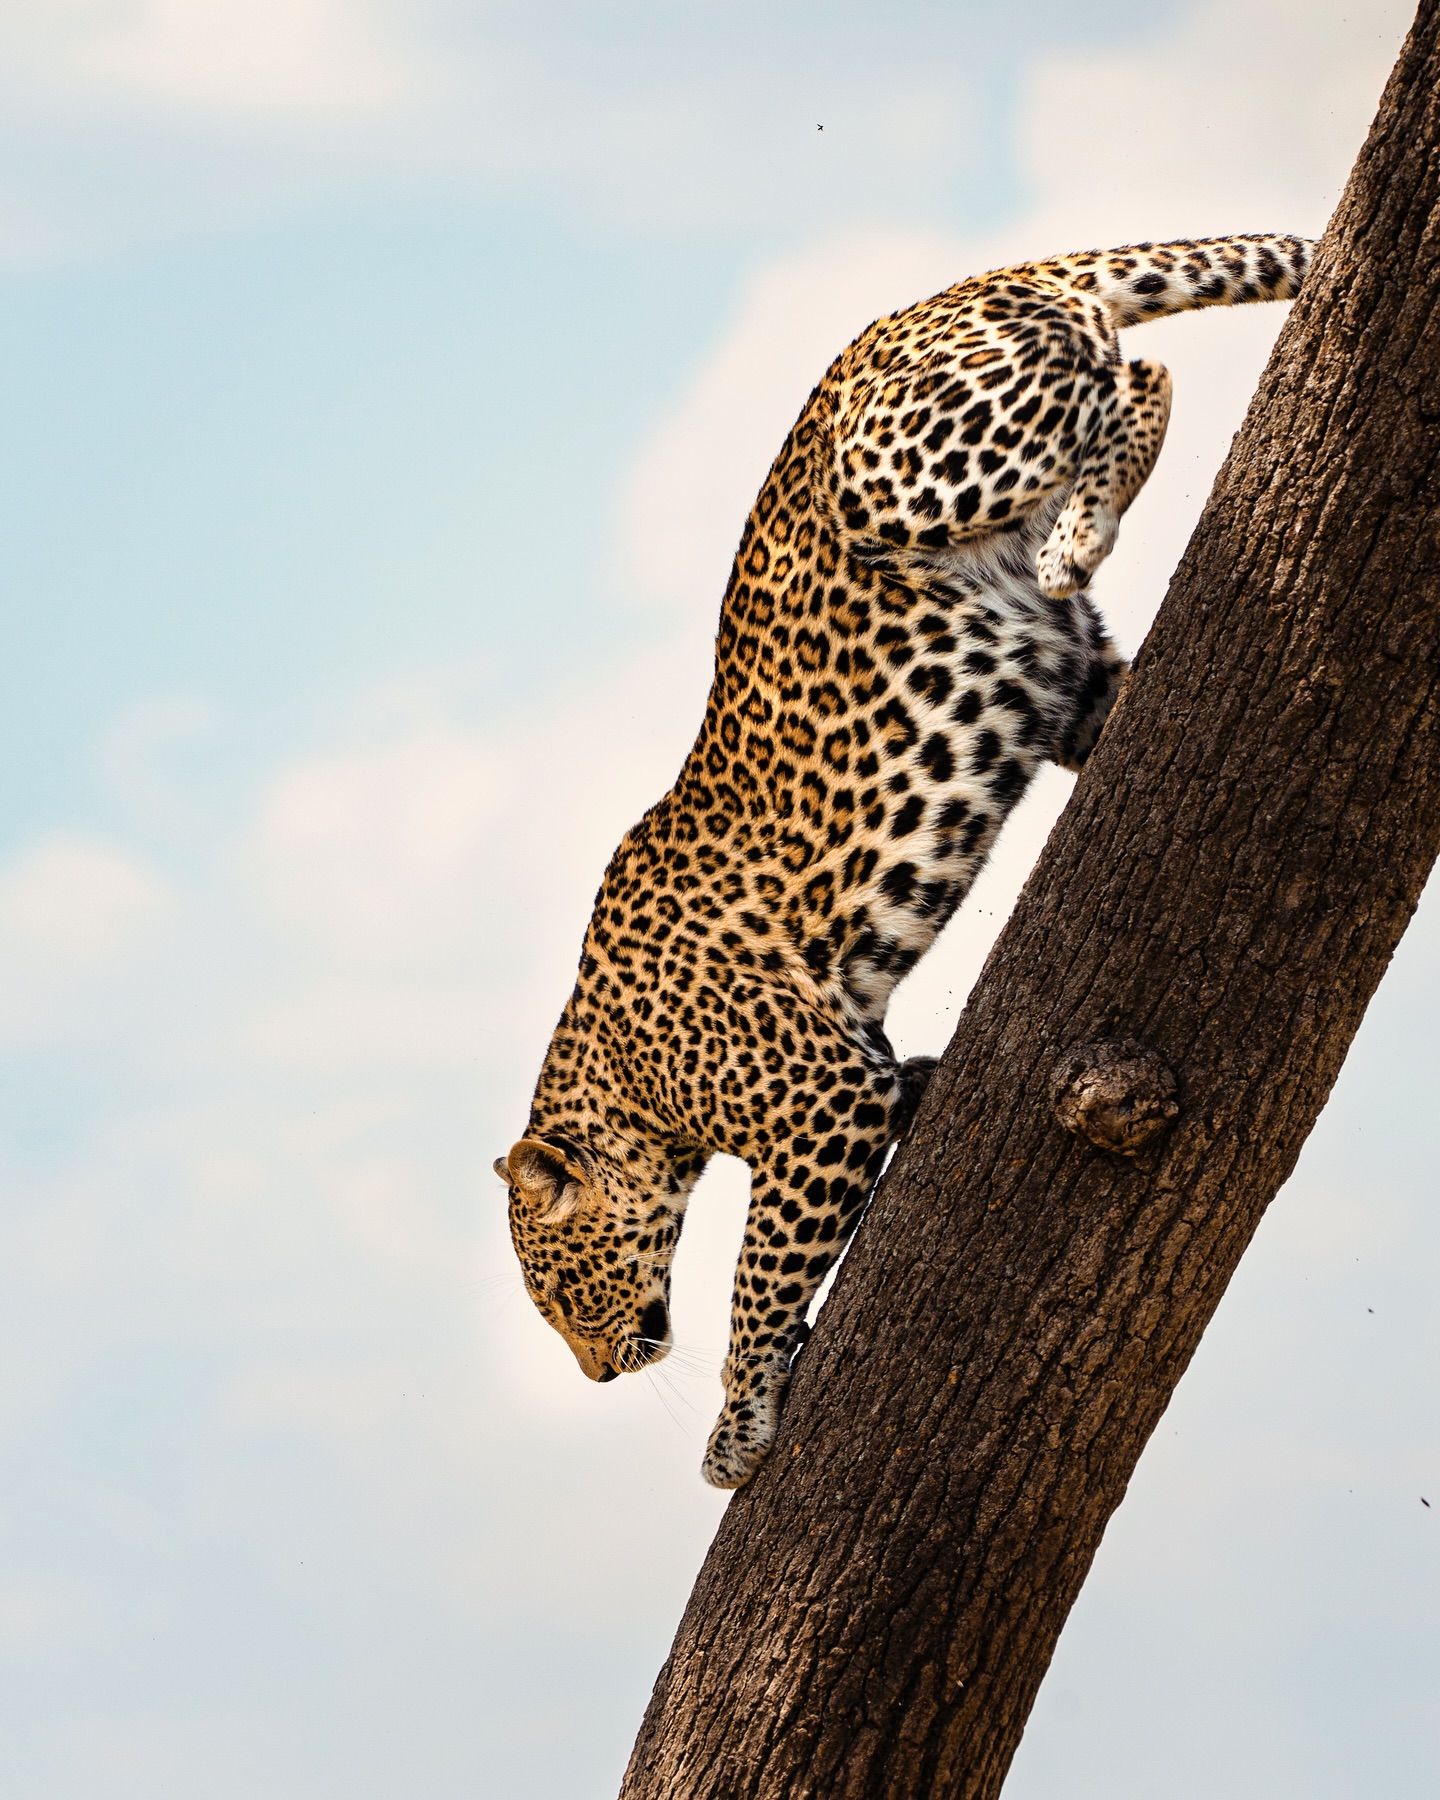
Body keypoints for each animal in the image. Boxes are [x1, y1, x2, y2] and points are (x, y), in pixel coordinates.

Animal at [494, 233, 1312, 1488]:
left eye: (553, 1291)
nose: (595, 1374)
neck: (623, 1073)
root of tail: (930, 300)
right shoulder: (860, 1063)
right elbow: (884, 1113)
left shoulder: (818, 1102)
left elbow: (757, 1281)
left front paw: (738, 1427)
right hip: (1060, 673)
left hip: (901, 473)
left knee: (1136, 375)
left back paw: (1080, 531)